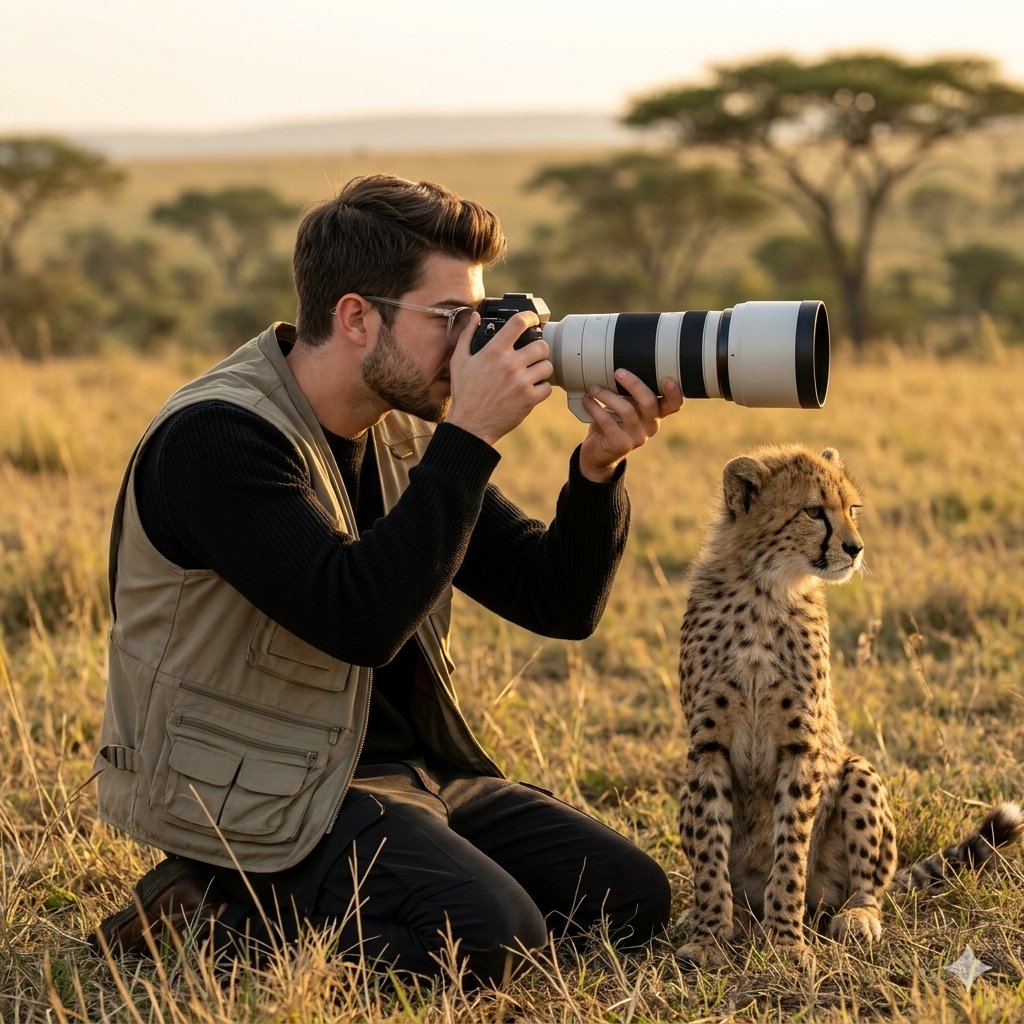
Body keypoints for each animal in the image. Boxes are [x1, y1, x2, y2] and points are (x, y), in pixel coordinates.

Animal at [675, 444, 1023, 967]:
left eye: (852, 510)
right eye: (813, 511)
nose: (856, 548)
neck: (765, 592)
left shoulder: (802, 748)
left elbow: (791, 852)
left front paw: (786, 943)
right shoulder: (707, 747)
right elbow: (710, 852)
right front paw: (710, 935)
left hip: (857, 772)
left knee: (868, 887)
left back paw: (856, 917)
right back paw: (719, 915)